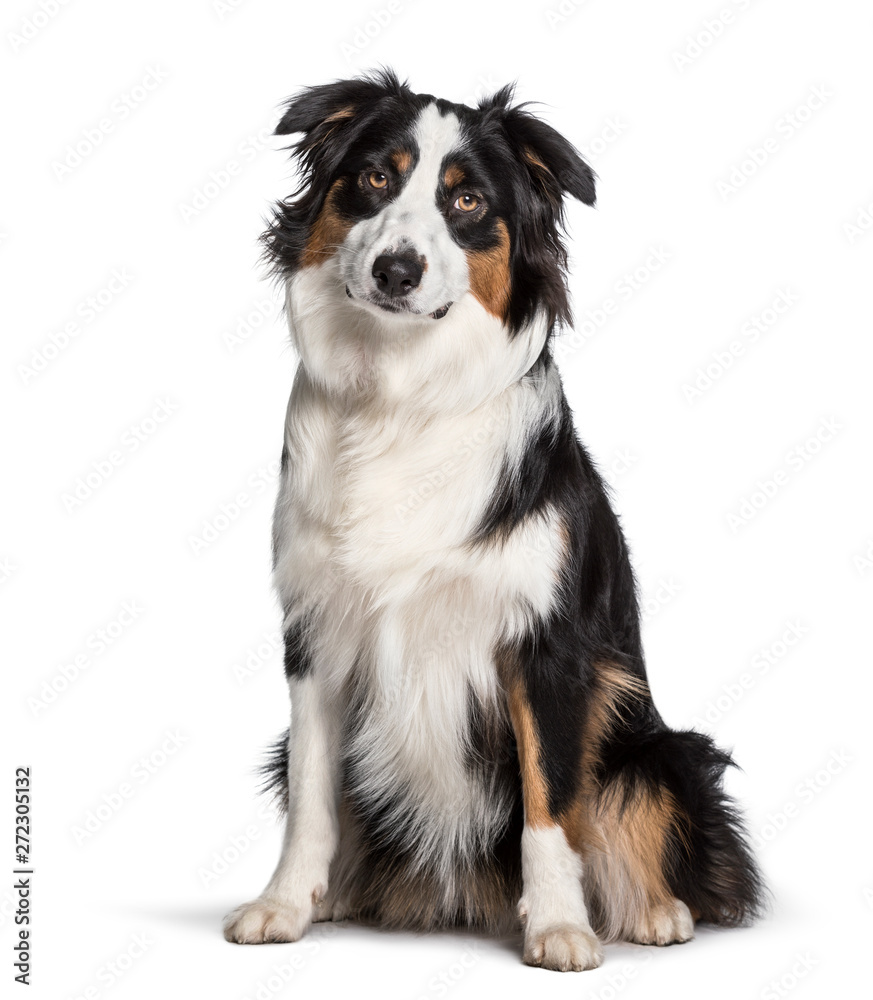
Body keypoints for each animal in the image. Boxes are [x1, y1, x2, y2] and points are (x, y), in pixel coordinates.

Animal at [225, 68, 764, 968]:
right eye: (374, 178)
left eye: (466, 199)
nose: (396, 270)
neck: (401, 397)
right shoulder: (315, 632)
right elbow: (311, 794)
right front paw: (284, 905)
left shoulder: (544, 644)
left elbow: (551, 803)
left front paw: (558, 927)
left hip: (658, 747)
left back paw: (655, 913)